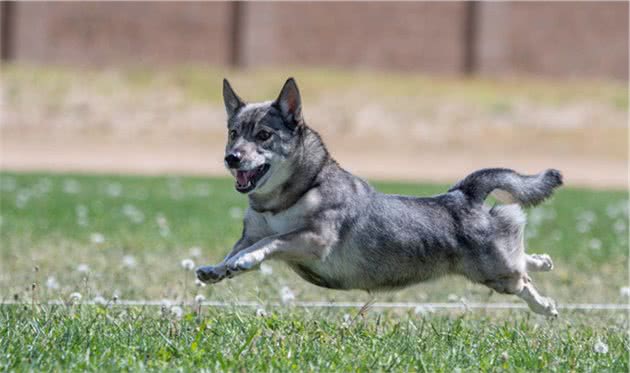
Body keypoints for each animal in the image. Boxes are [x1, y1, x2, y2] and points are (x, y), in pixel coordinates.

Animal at [198, 77, 564, 316]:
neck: (285, 199)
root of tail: (463, 195)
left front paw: (246, 260)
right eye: (233, 133)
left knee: (522, 279)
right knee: (522, 258)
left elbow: (268, 243)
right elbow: (237, 250)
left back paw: (545, 306)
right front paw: (219, 269)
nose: (232, 158)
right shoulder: (252, 233)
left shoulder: (313, 238)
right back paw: (543, 261)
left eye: (263, 135)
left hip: (497, 273)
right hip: (495, 265)